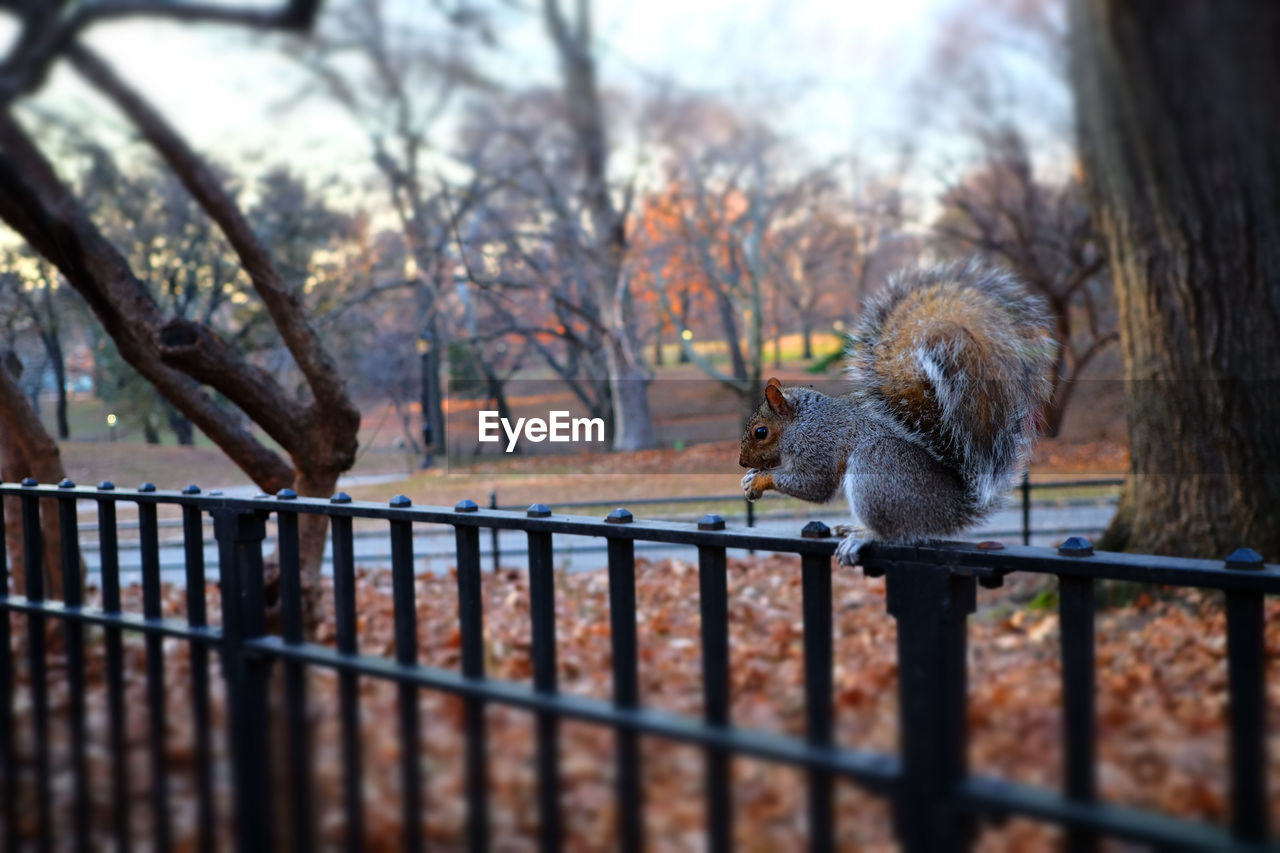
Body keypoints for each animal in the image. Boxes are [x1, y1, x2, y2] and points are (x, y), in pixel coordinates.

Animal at [742, 258, 1049, 563]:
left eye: (761, 432)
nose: (743, 463)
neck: (800, 422)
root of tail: (952, 512)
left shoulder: (819, 445)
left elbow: (814, 484)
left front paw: (759, 479)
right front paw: (749, 478)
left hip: (877, 466)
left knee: (893, 532)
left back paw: (863, 536)